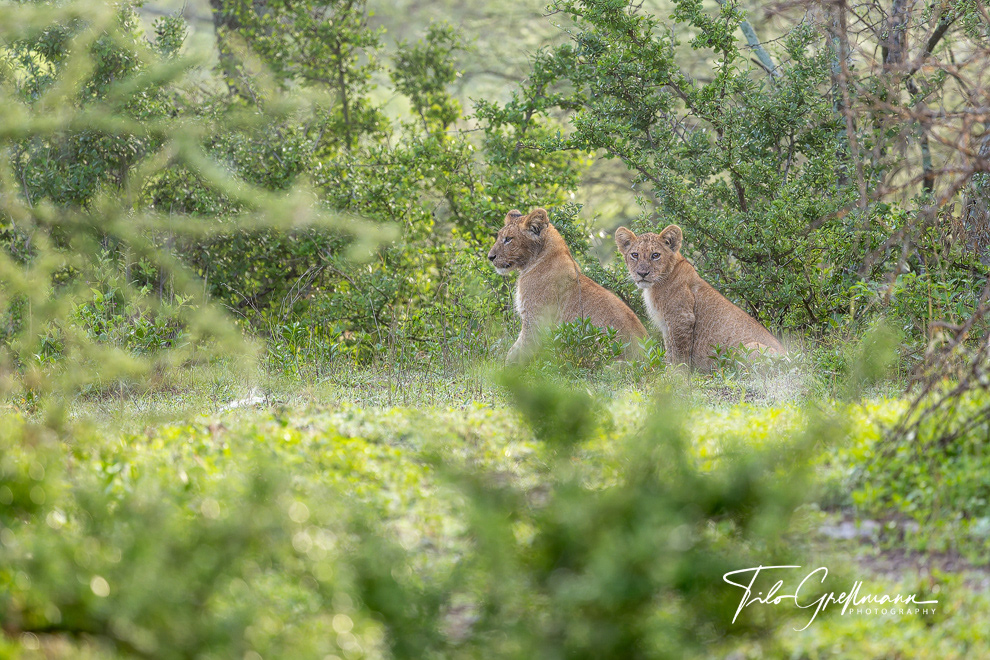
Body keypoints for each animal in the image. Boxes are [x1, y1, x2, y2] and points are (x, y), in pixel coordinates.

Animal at [488, 208, 648, 363]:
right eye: (499, 236)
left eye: (508, 239)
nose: (490, 257)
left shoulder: (536, 319)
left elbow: (516, 353)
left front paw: (507, 370)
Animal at [614, 225, 784, 372]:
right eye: (635, 255)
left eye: (655, 255)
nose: (642, 273)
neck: (655, 285)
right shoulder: (666, 324)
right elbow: (669, 349)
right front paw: (668, 371)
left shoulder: (682, 318)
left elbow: (679, 352)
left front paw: (677, 375)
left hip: (749, 348)